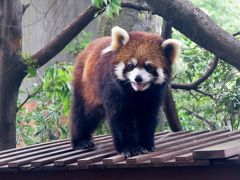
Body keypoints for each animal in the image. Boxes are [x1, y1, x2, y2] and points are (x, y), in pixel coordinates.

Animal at [70, 26, 181, 157]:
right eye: (131, 65)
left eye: (149, 67)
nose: (138, 78)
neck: (136, 93)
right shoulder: (113, 90)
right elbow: (120, 119)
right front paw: (129, 148)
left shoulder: (154, 96)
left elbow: (147, 118)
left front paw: (146, 144)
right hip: (85, 84)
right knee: (84, 113)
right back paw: (81, 141)